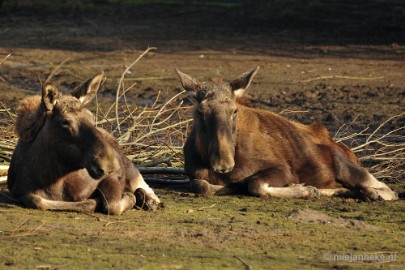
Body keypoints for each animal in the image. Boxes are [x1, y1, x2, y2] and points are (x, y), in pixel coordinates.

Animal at [7, 72, 159, 215]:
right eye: (65, 121)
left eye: (92, 117)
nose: (110, 164)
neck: (54, 180)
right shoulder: (20, 192)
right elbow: (38, 200)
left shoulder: (114, 176)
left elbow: (112, 205)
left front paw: (129, 197)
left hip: (128, 165)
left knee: (141, 183)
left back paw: (150, 200)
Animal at [176, 67, 398, 200]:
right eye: (200, 111)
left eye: (234, 111)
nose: (224, 164)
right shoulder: (197, 176)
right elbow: (201, 185)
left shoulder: (283, 169)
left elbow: (255, 184)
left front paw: (304, 189)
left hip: (346, 167)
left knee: (388, 189)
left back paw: (369, 192)